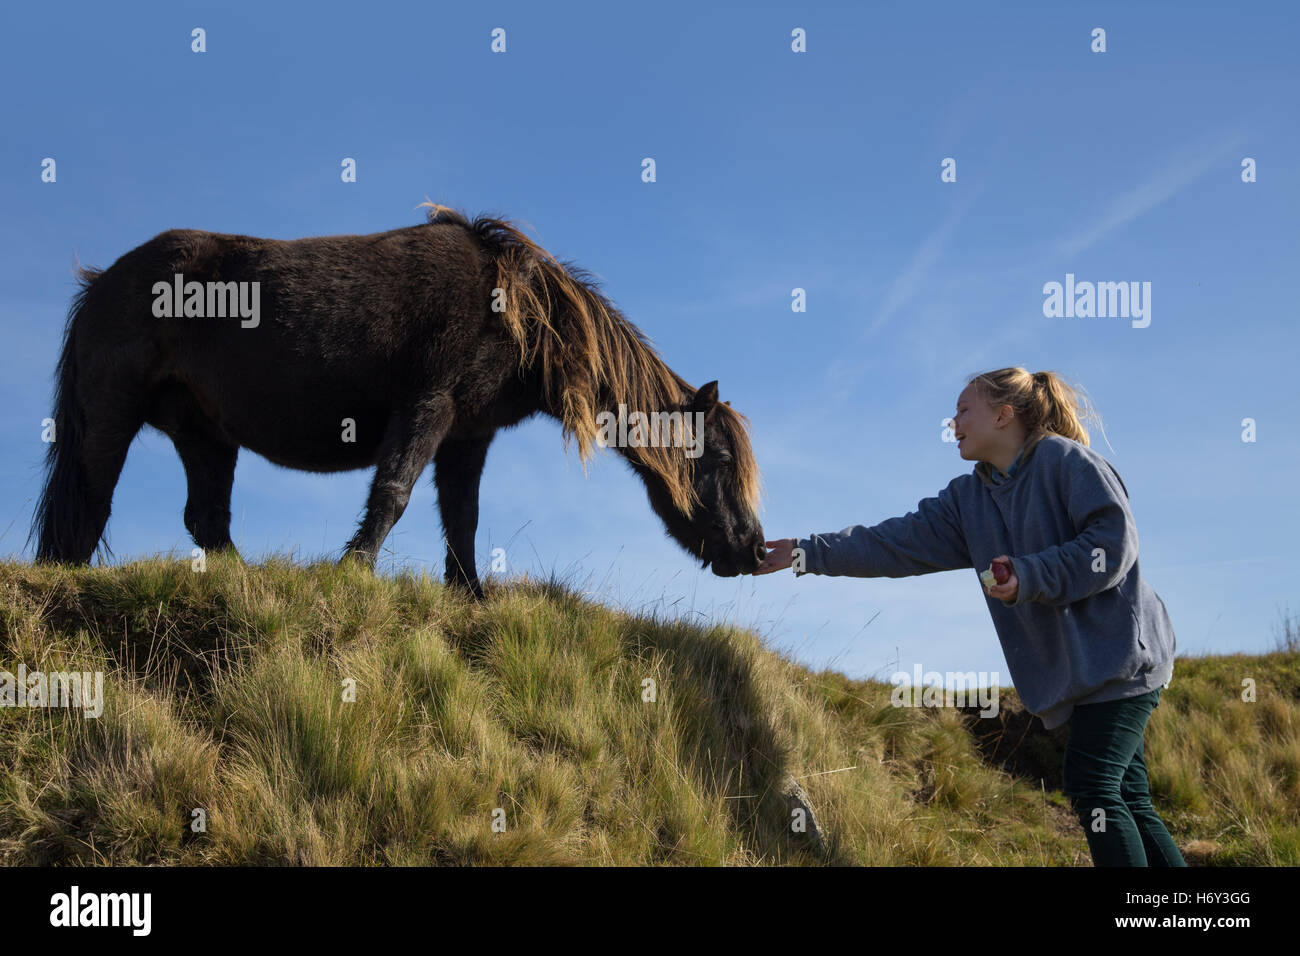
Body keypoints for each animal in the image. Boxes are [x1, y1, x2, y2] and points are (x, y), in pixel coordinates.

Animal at [32, 204, 759, 595]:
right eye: (720, 460)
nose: (753, 550)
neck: (517, 311)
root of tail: (101, 284)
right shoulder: (427, 408)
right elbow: (394, 493)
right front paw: (352, 571)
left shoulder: (467, 436)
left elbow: (461, 519)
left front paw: (470, 596)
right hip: (113, 416)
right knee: (90, 503)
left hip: (205, 435)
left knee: (205, 519)